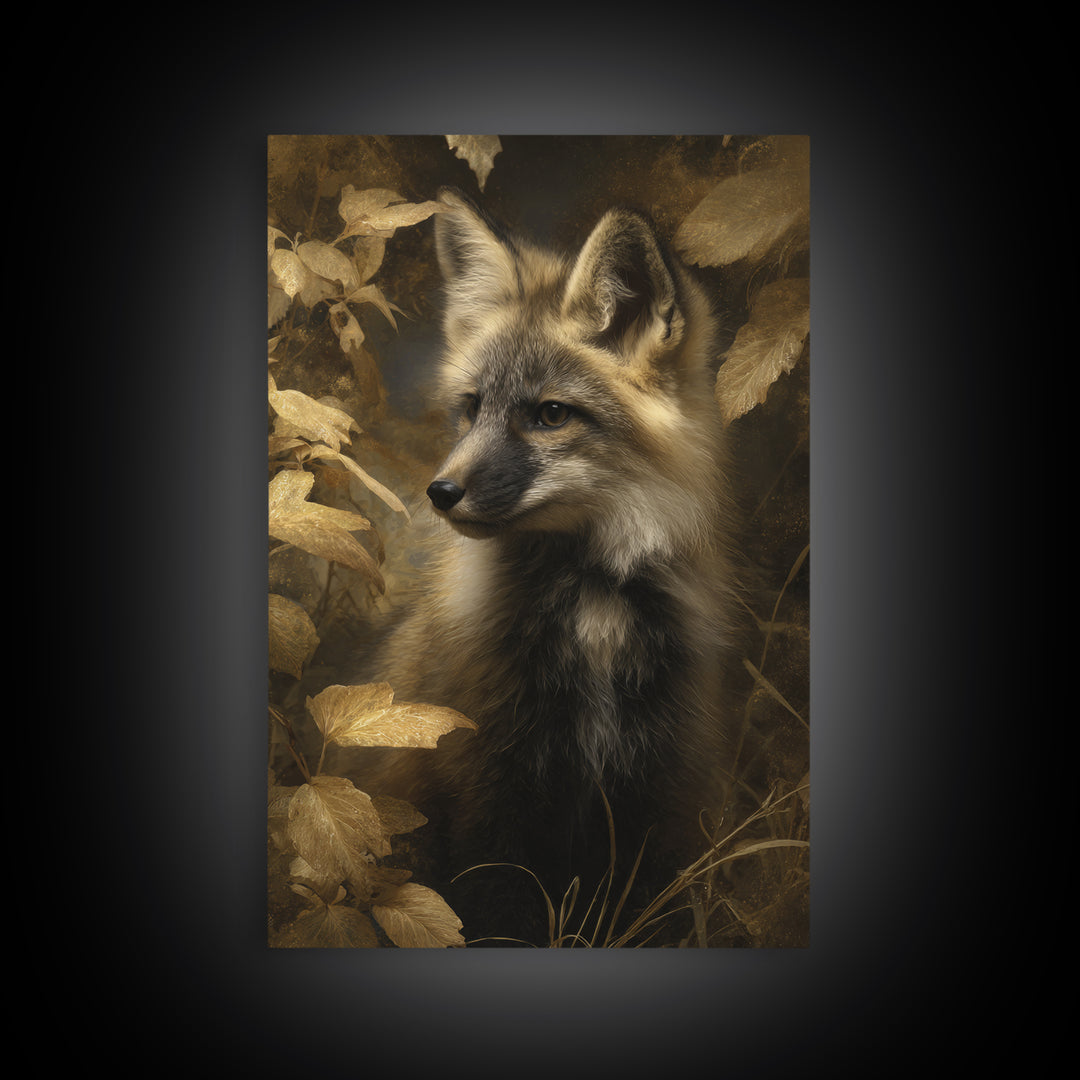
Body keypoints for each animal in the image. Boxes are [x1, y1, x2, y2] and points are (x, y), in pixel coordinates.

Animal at [363, 188, 740, 944]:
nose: (440, 491)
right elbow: (494, 914)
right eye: (472, 408)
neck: (594, 609)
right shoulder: (486, 785)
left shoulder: (659, 786)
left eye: (550, 415)